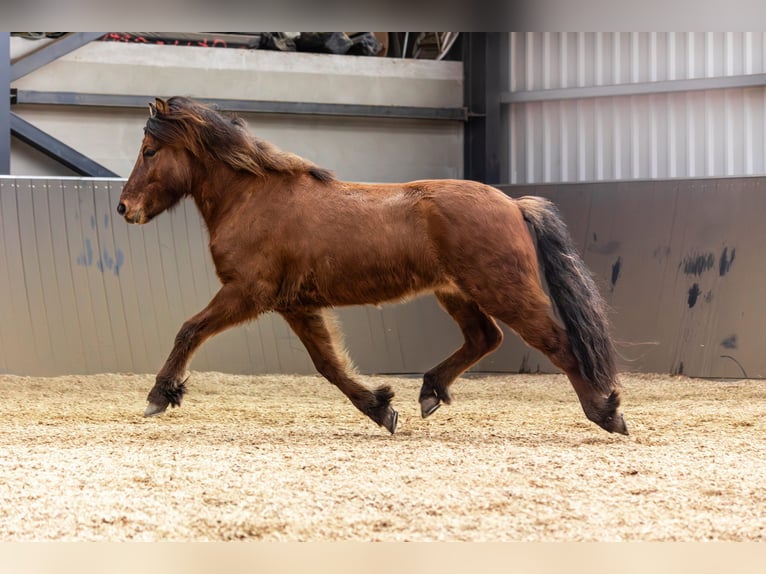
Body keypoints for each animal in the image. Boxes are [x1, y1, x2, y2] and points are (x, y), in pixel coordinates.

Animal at [115, 97, 632, 436]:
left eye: (149, 151)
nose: (124, 208)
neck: (254, 197)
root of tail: (513, 203)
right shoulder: (295, 305)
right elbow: (328, 364)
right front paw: (381, 408)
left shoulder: (247, 293)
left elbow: (189, 330)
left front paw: (159, 396)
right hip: (457, 292)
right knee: (485, 338)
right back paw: (430, 392)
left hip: (503, 289)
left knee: (558, 343)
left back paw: (607, 413)